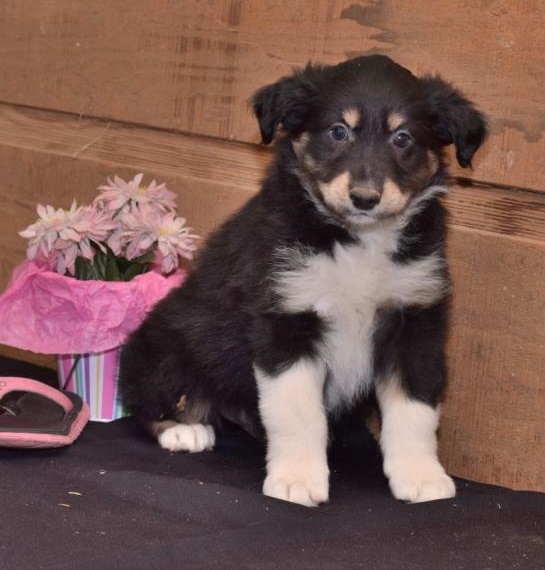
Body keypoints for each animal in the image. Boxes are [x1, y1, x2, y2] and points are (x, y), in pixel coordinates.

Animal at [118, 54, 484, 506]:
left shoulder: (413, 322)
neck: (357, 239)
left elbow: (415, 411)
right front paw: (297, 480)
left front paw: (421, 477)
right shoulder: (286, 321)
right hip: (166, 343)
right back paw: (184, 429)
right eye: (338, 131)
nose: (365, 198)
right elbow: (297, 413)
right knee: (147, 398)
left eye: (403, 138)